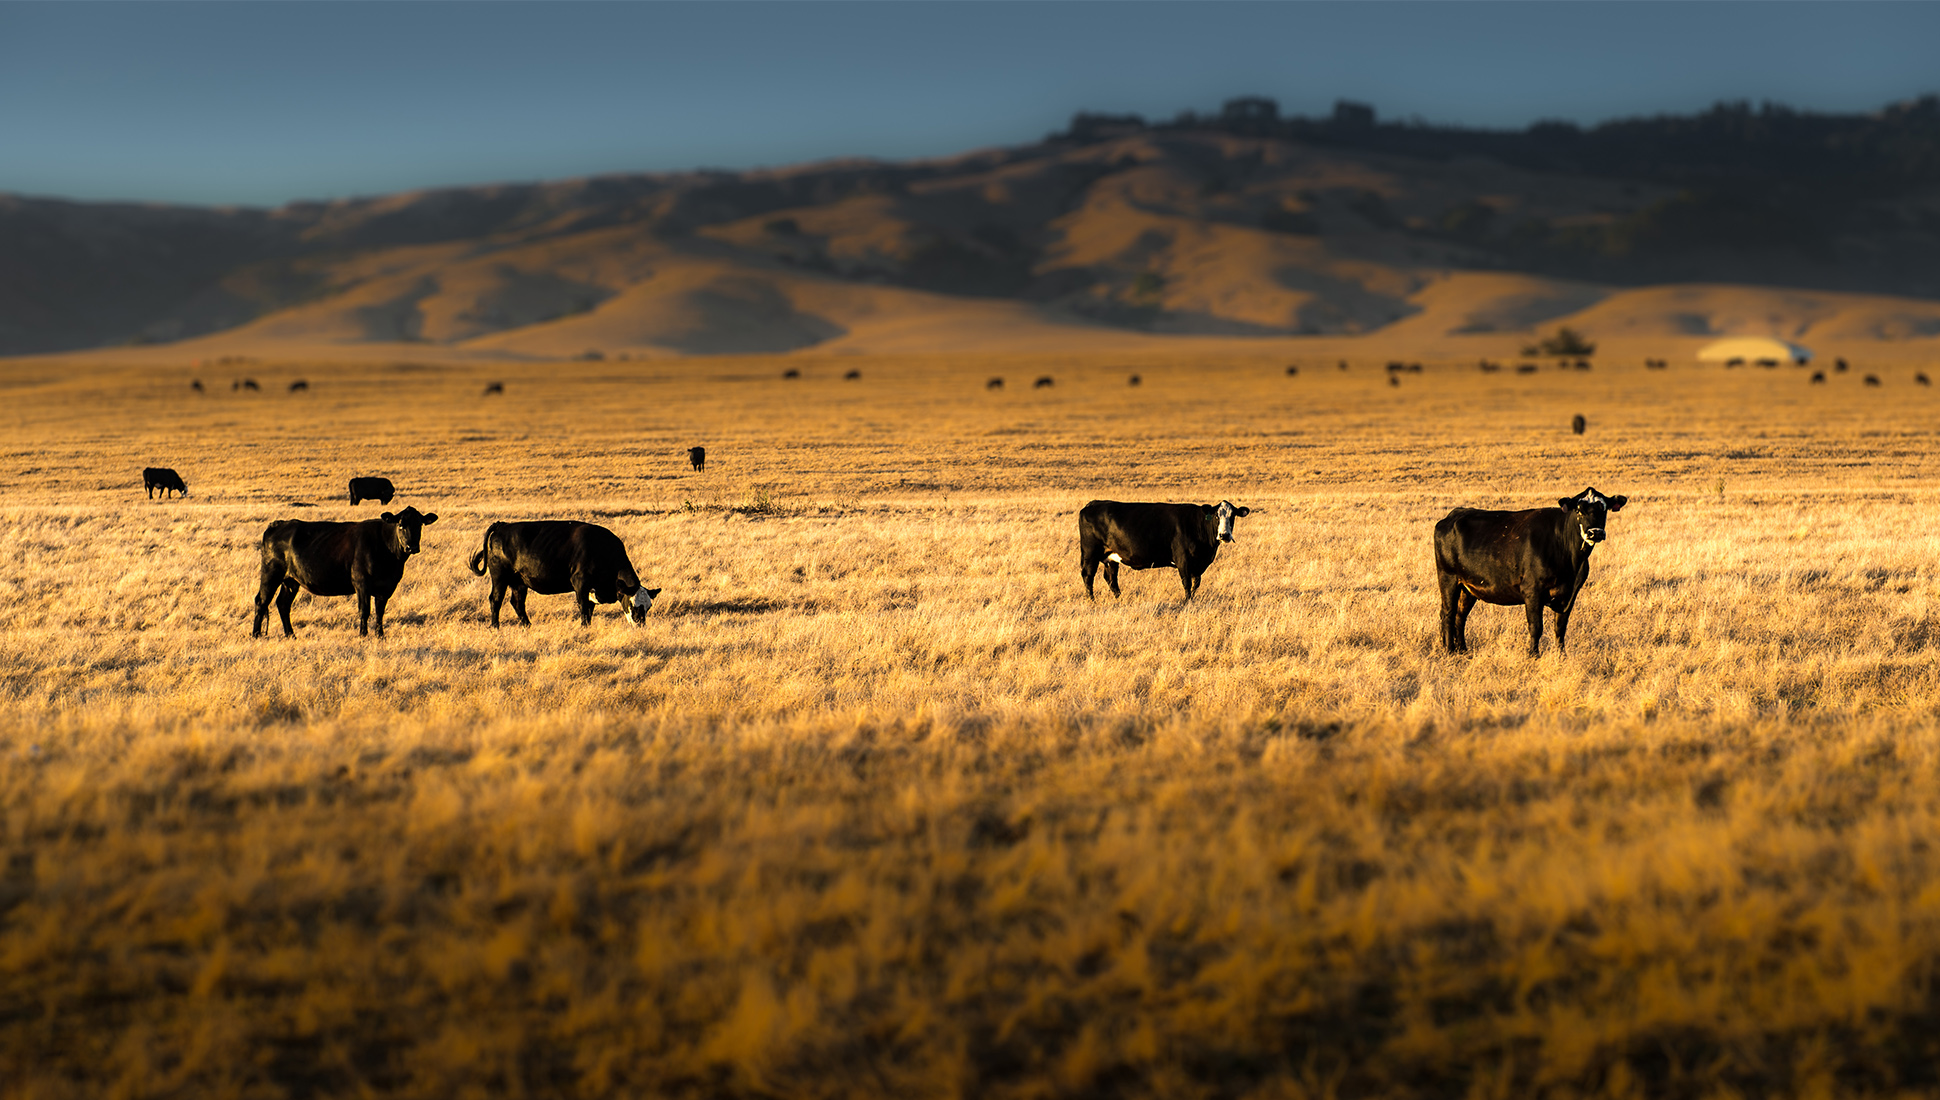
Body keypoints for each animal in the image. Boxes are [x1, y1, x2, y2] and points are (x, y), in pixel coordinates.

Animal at [250, 508, 440, 640]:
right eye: (400, 525)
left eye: (419, 525)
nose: (411, 547)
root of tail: (278, 524)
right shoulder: (361, 583)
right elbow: (364, 610)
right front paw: (363, 636)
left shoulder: (386, 587)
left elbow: (380, 612)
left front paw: (380, 636)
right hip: (271, 573)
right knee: (261, 601)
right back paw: (256, 635)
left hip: (291, 580)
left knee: (283, 604)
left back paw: (291, 635)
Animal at [467, 519, 659, 624]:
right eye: (634, 606)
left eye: (648, 607)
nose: (640, 625)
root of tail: (502, 525)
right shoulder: (580, 584)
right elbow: (584, 610)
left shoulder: (591, 590)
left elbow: (589, 610)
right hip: (499, 577)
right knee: (496, 600)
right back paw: (495, 627)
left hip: (519, 582)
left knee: (517, 603)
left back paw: (528, 626)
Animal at [1078, 500, 1257, 601]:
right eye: (1216, 516)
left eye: (1232, 516)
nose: (1224, 535)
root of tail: (1092, 504)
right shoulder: (1183, 560)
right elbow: (1187, 583)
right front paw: (1187, 602)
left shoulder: (1198, 565)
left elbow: (1196, 584)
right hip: (1090, 553)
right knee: (1088, 575)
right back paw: (1091, 601)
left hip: (1111, 557)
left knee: (1111, 579)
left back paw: (1120, 600)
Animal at [1435, 488, 1629, 659]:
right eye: (1579, 509)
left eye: (1603, 509)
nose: (1595, 533)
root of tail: (1454, 514)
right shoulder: (1532, 590)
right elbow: (1536, 626)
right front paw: (1533, 656)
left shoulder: (1570, 593)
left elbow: (1560, 627)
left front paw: (1562, 656)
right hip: (1448, 578)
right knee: (1448, 614)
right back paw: (1450, 651)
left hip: (1468, 586)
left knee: (1460, 616)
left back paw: (1463, 650)